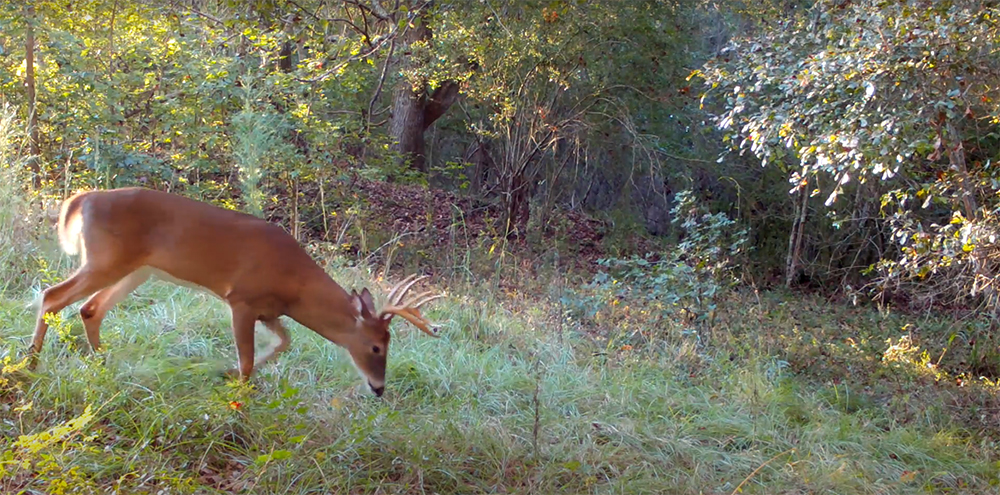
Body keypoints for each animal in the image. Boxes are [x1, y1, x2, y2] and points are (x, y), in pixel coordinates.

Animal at [27, 187, 443, 397]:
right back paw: (30, 364)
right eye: (376, 347)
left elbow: (284, 342)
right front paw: (237, 396)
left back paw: (105, 366)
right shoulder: (240, 298)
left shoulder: (269, 309)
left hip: (136, 270)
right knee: (52, 296)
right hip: (106, 259)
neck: (294, 285)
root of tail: (83, 198)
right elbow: (247, 360)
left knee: (89, 309)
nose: (379, 388)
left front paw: (223, 371)